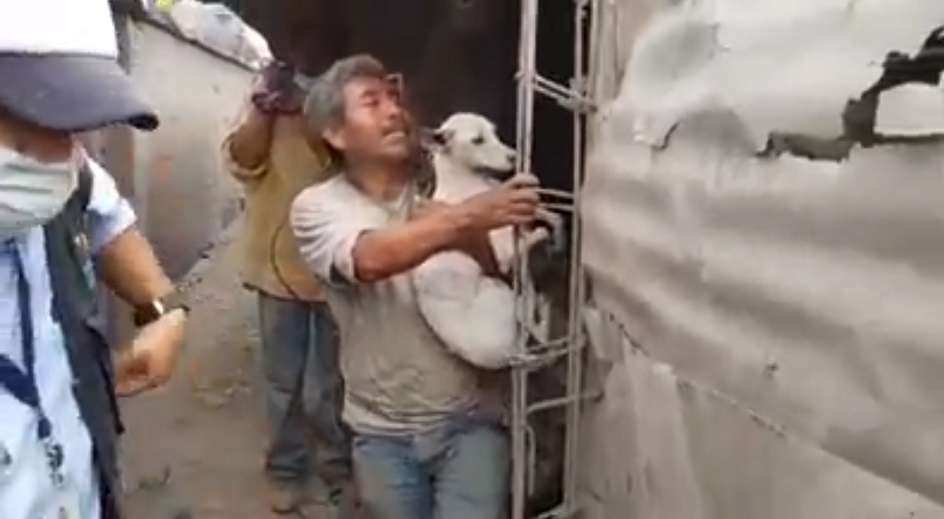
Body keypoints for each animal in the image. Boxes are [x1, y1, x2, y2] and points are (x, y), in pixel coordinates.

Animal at [412, 112, 560, 370]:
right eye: (477, 140)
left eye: (495, 132)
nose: (514, 156)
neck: (471, 182)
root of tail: (508, 356)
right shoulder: (503, 255)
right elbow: (531, 235)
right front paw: (545, 235)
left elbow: (547, 214)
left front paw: (556, 227)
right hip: (500, 289)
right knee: (530, 319)